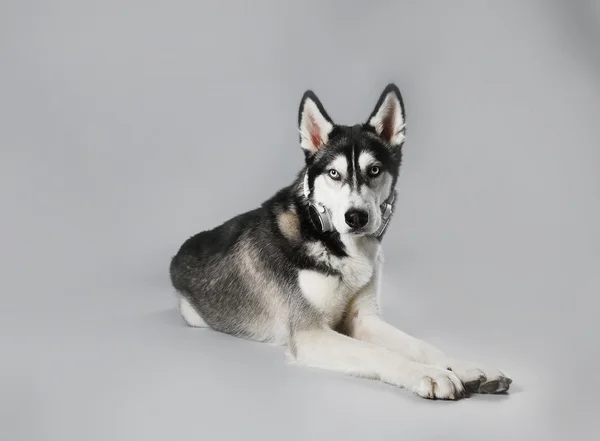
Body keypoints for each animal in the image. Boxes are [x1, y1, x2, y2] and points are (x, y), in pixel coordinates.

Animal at [171, 84, 512, 398]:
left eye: (374, 170)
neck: (337, 246)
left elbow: (422, 346)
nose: (356, 217)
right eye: (334, 174)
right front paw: (429, 374)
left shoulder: (365, 319)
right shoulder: (310, 334)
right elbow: (379, 353)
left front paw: (464, 366)